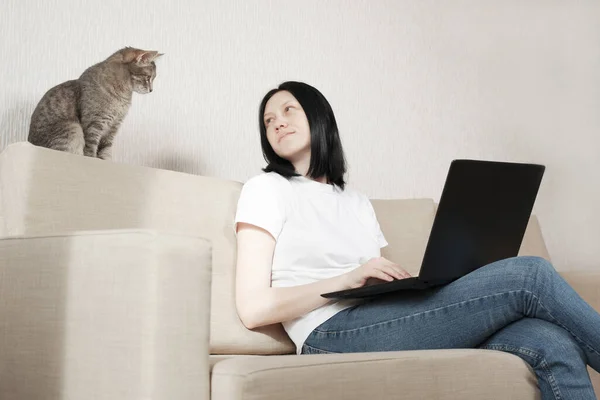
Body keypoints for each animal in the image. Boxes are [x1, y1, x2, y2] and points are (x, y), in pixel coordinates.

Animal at [27, 47, 163, 159]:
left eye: (153, 78)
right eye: (148, 78)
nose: (151, 90)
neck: (122, 96)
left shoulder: (113, 127)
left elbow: (105, 150)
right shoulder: (94, 123)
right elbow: (91, 148)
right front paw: (92, 158)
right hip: (72, 127)